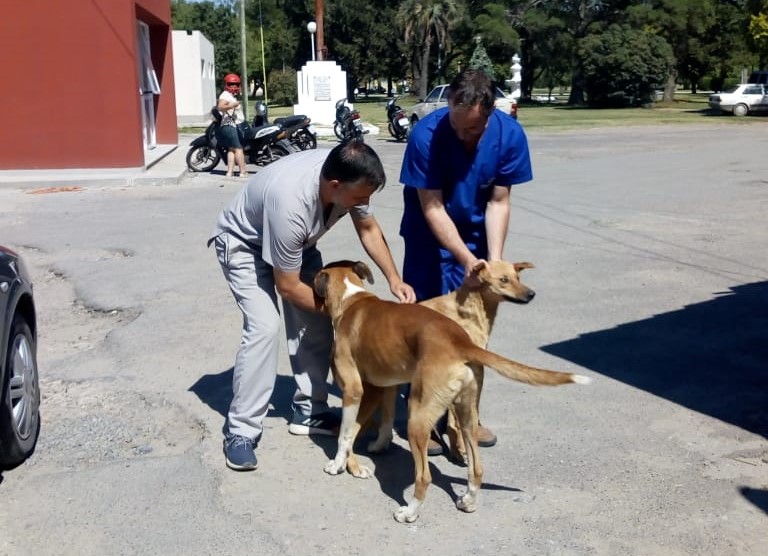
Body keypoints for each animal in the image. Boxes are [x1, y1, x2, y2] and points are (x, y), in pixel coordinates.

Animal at [312, 260, 588, 520]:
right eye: (505, 279)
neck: (352, 298)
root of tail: (461, 342)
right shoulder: (387, 385)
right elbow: (384, 421)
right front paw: (378, 446)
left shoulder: (354, 390)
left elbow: (346, 433)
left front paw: (337, 464)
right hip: (467, 414)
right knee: (476, 467)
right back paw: (468, 501)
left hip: (418, 416)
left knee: (424, 477)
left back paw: (409, 512)